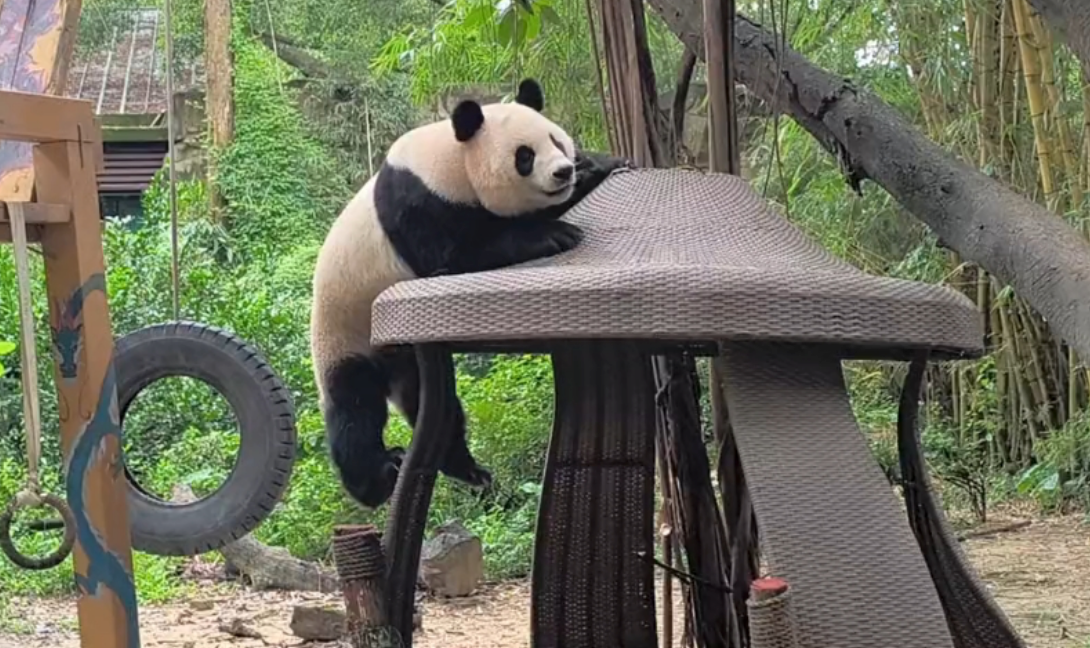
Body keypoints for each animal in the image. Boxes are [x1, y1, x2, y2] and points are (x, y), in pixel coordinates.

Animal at [310, 78, 632, 509]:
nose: (562, 171)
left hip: (405, 356)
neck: (451, 161)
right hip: (345, 332)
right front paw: (553, 235)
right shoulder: (419, 207)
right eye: (525, 156)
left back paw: (466, 469)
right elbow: (456, 256)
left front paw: (600, 165)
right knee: (355, 408)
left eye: (556, 141)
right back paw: (377, 479)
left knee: (432, 403)